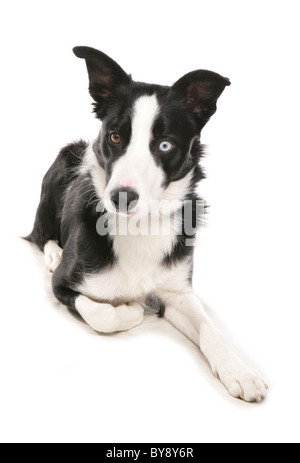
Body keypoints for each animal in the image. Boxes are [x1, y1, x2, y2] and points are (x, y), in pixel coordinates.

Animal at [27, 47, 268, 402]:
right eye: (114, 137)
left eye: (165, 145)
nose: (121, 197)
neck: (139, 225)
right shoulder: (63, 285)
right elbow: (101, 313)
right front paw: (131, 309)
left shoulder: (176, 290)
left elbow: (208, 327)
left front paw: (239, 370)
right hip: (58, 172)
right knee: (41, 235)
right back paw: (54, 252)